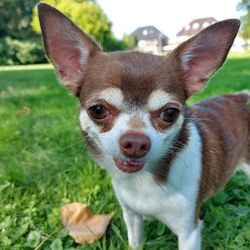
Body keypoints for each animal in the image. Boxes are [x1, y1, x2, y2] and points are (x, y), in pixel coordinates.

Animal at [37, 3, 250, 250]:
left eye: (170, 113)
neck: (142, 181)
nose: (136, 142)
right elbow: (135, 242)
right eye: (98, 110)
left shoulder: (189, 231)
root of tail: (241, 97)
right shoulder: (132, 216)